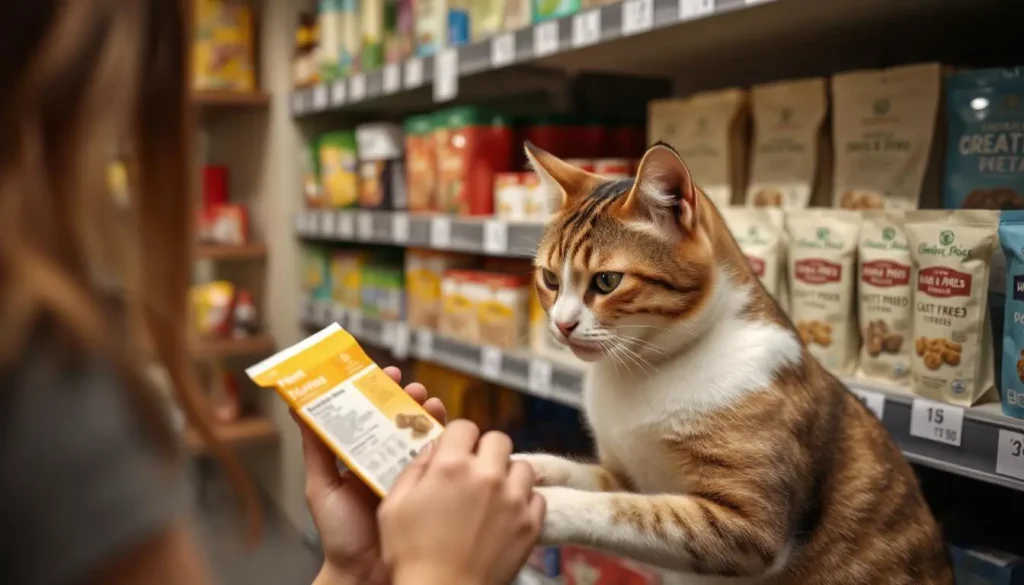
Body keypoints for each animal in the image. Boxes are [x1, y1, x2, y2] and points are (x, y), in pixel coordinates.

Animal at [516, 143, 954, 585]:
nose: (561, 325)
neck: (646, 368)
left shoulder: (749, 528)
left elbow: (624, 511)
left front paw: (548, 504)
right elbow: (585, 476)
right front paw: (530, 465)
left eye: (606, 281)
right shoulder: (628, 476)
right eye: (550, 279)